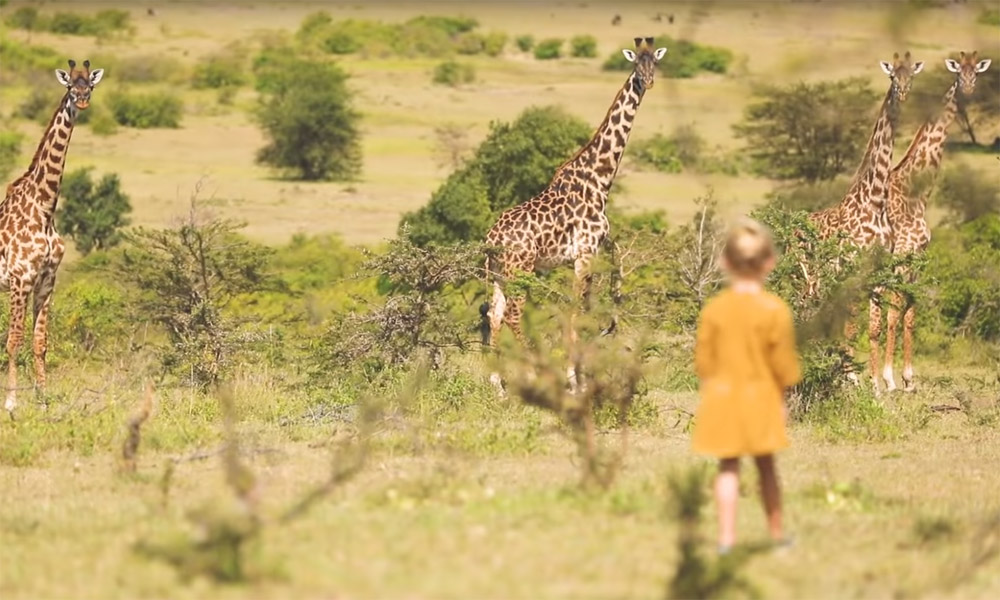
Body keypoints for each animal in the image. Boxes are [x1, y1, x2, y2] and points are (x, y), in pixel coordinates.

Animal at [1, 58, 104, 412]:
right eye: (70, 85)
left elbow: (40, 342)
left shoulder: (47, 279)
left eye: (90, 83)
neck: (44, 208)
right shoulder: (20, 279)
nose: (83, 100)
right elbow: (14, 341)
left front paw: (44, 401)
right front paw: (11, 403)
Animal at [482, 36, 664, 356]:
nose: (648, 82)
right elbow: (577, 309)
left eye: (654, 61)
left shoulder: (586, 255)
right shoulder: (585, 252)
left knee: (495, 313)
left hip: (499, 272)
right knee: (514, 314)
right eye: (635, 64)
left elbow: (586, 304)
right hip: (520, 268)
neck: (600, 179)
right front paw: (573, 359)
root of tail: (492, 239)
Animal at [804, 50, 920, 390]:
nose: (902, 92)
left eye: (912, 75)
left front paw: (875, 384)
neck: (876, 199)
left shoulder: (877, 271)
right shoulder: (855, 267)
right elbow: (855, 327)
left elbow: (873, 327)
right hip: (810, 277)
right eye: (893, 75)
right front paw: (855, 379)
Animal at [880, 49, 988, 392]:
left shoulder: (920, 255)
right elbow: (895, 310)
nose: (968, 89)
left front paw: (908, 379)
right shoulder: (901, 254)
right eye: (958, 72)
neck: (916, 191)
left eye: (976, 72)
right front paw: (889, 379)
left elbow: (910, 312)